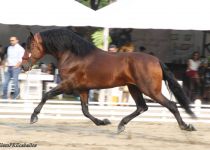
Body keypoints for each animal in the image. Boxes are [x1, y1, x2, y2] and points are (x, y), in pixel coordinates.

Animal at [20, 27, 196, 132]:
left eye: (30, 46)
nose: (23, 66)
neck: (73, 55)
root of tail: (156, 60)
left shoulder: (68, 85)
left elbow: (46, 95)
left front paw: (33, 117)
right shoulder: (83, 89)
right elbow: (85, 111)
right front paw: (103, 121)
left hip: (150, 90)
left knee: (171, 105)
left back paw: (186, 126)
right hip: (134, 88)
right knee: (142, 107)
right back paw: (121, 125)